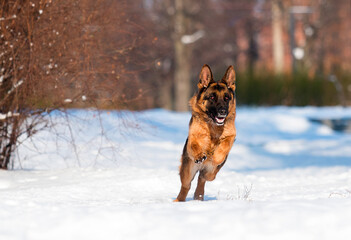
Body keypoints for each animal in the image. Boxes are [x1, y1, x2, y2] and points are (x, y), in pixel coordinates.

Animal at [175, 64, 238, 202]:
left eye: (227, 98)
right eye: (212, 97)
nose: (223, 112)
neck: (213, 127)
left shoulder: (231, 136)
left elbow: (225, 144)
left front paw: (216, 156)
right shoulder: (193, 137)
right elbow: (194, 144)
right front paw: (200, 155)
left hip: (212, 173)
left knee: (203, 177)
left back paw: (198, 195)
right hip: (188, 171)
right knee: (186, 186)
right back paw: (179, 201)